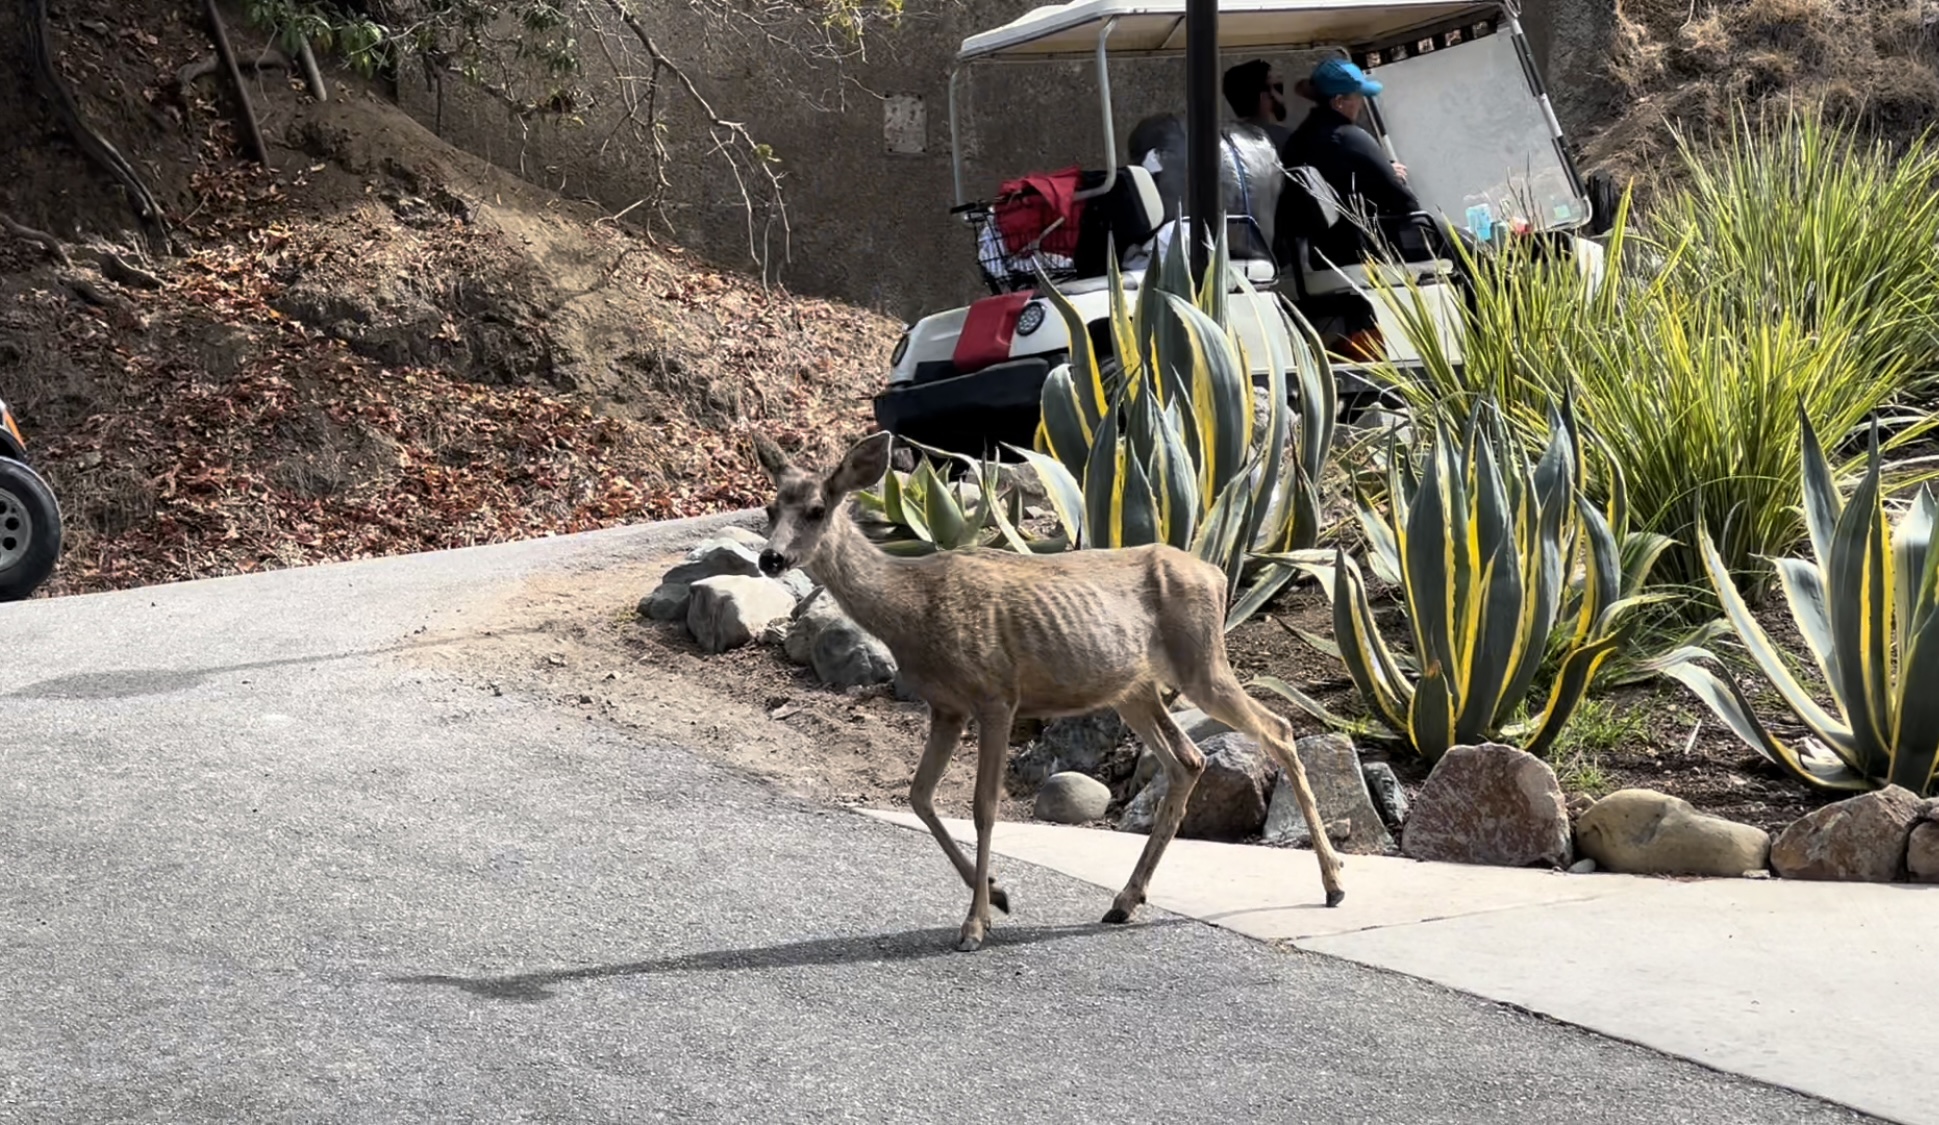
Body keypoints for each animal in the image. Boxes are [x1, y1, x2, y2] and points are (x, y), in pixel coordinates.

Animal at [748, 430, 1341, 950]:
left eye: (817, 509)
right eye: (771, 510)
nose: (769, 558)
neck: (911, 607)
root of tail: (1218, 574)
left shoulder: (995, 694)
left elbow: (984, 806)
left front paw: (975, 925)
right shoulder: (946, 705)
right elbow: (919, 795)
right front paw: (998, 895)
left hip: (1201, 661)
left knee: (1277, 729)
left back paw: (1333, 884)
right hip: (1133, 688)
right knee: (1189, 760)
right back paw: (1124, 901)